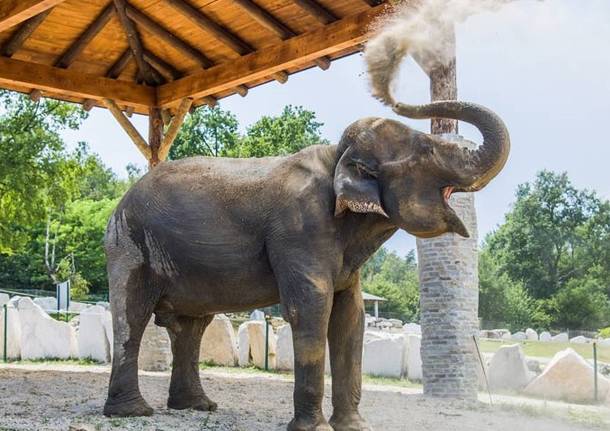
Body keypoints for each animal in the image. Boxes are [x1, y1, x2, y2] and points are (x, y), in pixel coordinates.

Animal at [102, 98, 506, 431]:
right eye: (426, 150)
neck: (336, 157)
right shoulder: (299, 229)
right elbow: (311, 308)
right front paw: (315, 429)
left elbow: (350, 317)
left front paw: (354, 428)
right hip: (130, 245)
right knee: (133, 315)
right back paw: (134, 413)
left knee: (191, 328)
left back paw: (197, 407)